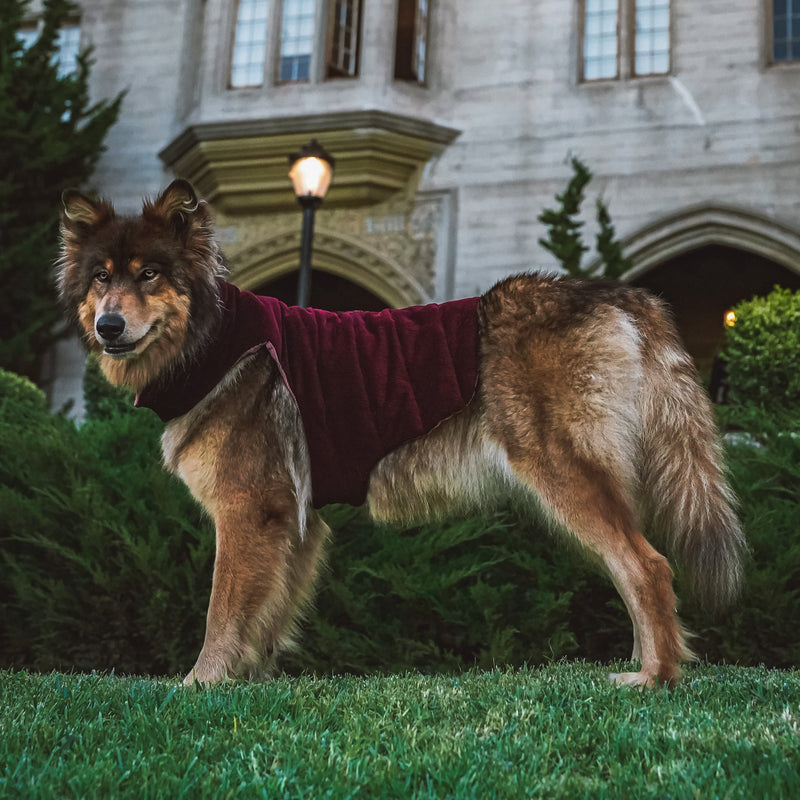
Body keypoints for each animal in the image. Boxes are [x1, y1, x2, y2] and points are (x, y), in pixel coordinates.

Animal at [56, 180, 744, 688]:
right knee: (635, 569)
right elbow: (266, 620)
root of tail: (625, 296)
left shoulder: (250, 513)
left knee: (648, 566)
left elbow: (222, 615)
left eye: (149, 275)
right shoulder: (297, 524)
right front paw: (250, 684)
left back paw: (656, 678)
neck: (214, 340)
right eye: (101, 279)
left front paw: (199, 686)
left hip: (564, 475)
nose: (110, 326)